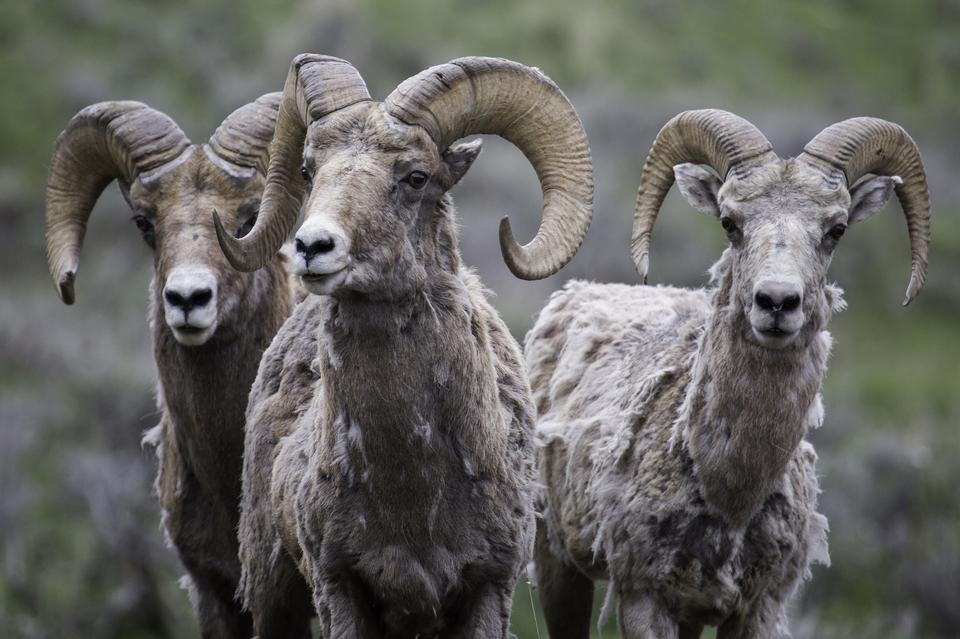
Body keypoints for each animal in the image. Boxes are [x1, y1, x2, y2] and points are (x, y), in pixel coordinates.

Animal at [215, 56, 592, 639]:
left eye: (416, 177)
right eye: (309, 170)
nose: (311, 247)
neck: (412, 493)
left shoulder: (489, 590)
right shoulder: (340, 589)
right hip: (274, 596)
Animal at [524, 110, 928, 639]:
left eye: (836, 229)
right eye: (729, 222)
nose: (776, 302)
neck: (729, 489)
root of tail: (571, 293)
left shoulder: (758, 608)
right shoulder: (644, 598)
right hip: (556, 560)